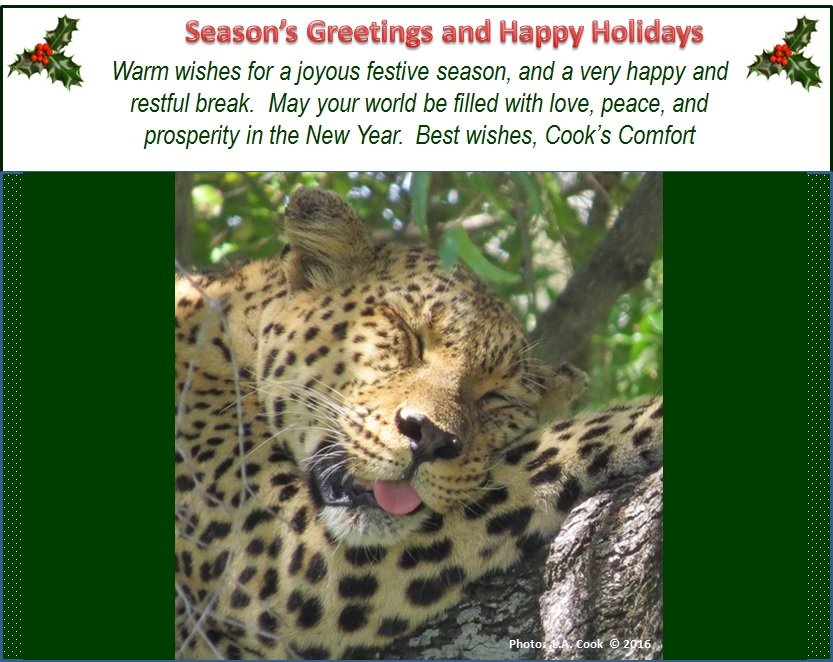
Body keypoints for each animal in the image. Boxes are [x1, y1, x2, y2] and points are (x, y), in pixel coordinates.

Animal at [175, 187, 663, 660]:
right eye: (407, 334)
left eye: (497, 397)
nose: (429, 438)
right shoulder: (278, 556)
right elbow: (543, 453)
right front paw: (651, 418)